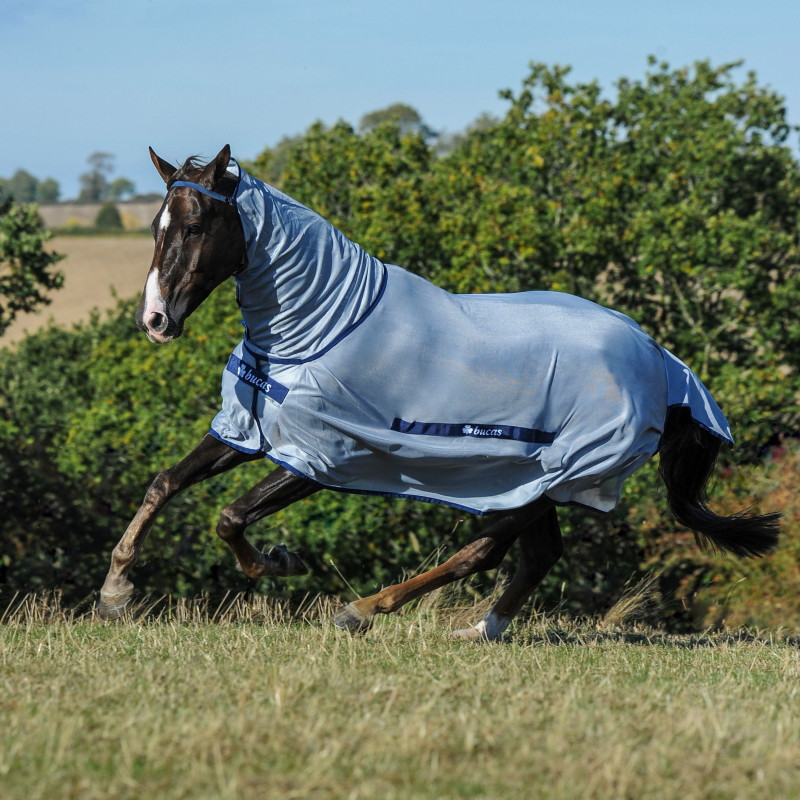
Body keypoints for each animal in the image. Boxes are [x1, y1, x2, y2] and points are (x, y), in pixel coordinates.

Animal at [97, 147, 780, 640]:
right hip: (530, 478)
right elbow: (165, 482)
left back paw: (363, 611)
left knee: (483, 551)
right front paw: (115, 593)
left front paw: (280, 562)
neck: (322, 325)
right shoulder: (246, 432)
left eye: (193, 225)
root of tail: (662, 362)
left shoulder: (323, 457)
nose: (155, 320)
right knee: (535, 556)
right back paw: (478, 632)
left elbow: (230, 516)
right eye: (155, 226)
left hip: (559, 476)